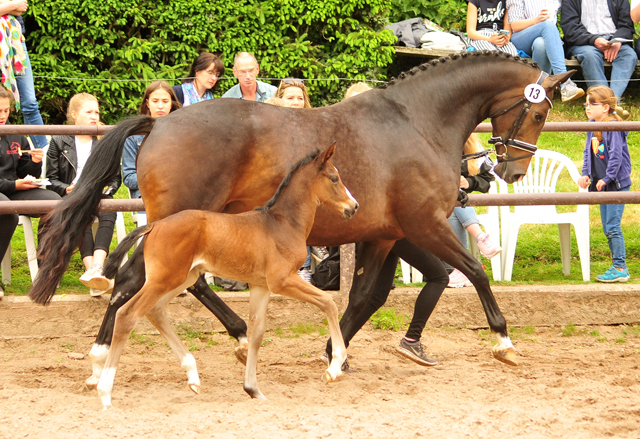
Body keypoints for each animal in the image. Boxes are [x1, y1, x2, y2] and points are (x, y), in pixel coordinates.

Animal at [100, 146, 360, 410]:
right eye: (334, 178)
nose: (354, 206)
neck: (282, 224)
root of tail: (154, 225)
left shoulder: (261, 286)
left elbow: (256, 333)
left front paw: (253, 389)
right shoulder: (282, 280)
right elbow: (328, 302)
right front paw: (334, 368)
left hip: (181, 278)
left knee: (155, 311)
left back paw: (192, 375)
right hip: (164, 279)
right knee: (127, 314)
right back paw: (105, 391)